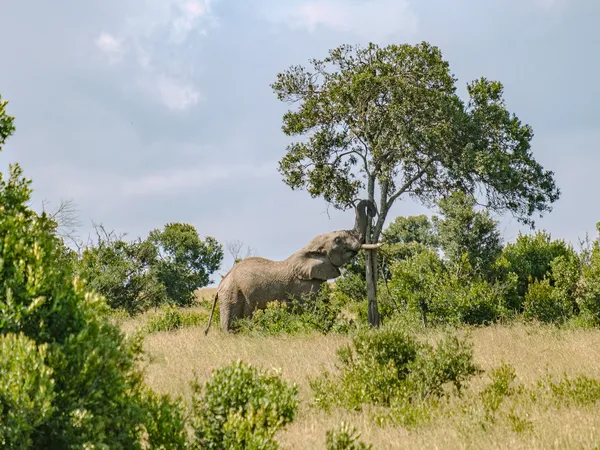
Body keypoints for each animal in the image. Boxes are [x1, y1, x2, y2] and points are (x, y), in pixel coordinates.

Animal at [204, 200, 378, 334]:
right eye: (338, 240)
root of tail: (222, 283)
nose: (372, 209)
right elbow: (312, 308)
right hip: (233, 294)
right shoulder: (304, 286)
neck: (307, 250)